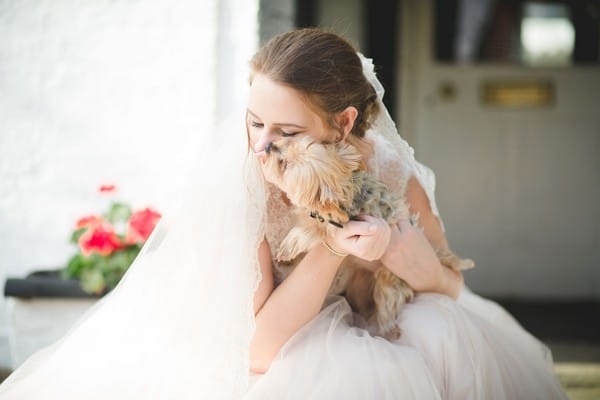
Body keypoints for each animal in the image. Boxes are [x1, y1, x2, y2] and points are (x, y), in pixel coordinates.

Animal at [262, 136, 474, 340]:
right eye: (289, 142)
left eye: (284, 165)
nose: (269, 146)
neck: (346, 190)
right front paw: (288, 260)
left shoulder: (331, 225)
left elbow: (308, 232)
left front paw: (287, 249)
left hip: (388, 283)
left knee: (388, 307)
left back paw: (387, 332)